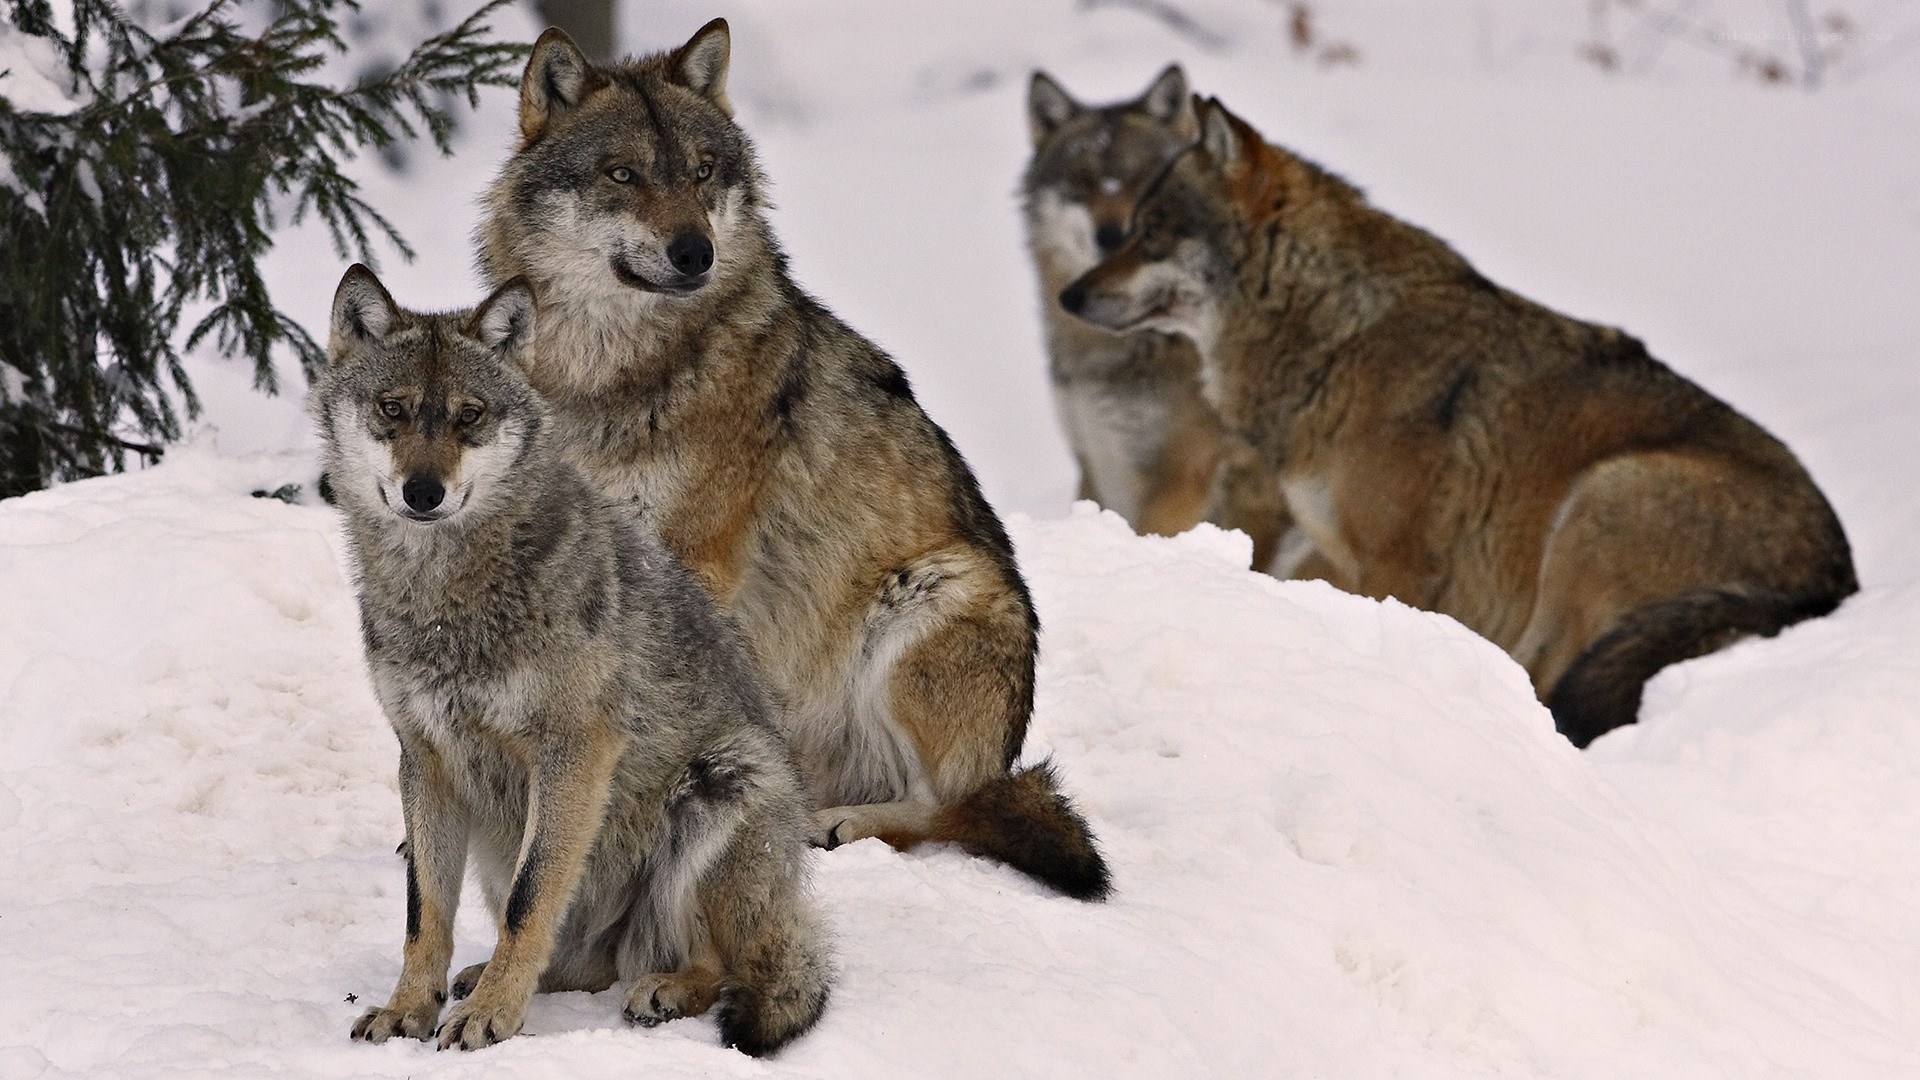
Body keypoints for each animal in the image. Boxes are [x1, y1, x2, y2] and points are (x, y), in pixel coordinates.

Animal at [320, 265, 830, 1055]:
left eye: (470, 416)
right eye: (392, 409)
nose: (423, 492)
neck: (445, 598)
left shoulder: (574, 751)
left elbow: (531, 900)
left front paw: (491, 1019)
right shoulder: (425, 759)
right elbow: (424, 913)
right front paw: (409, 1010)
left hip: (722, 784)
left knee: (720, 965)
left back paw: (662, 990)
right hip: (499, 841)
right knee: (583, 964)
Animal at [476, 21, 1109, 899]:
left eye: (702, 171)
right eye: (622, 174)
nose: (695, 252)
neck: (607, 374)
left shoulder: (696, 559)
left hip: (930, 597)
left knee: (952, 811)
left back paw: (836, 825)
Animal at [1061, 97, 1857, 746]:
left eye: (1152, 235)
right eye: (1131, 231)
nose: (1069, 296)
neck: (1340, 334)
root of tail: (1834, 583)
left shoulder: (1399, 565)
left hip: (1600, 502)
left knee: (1552, 686)